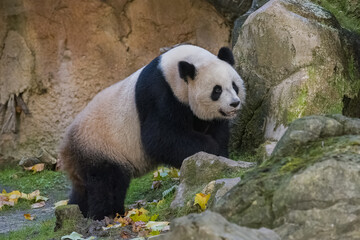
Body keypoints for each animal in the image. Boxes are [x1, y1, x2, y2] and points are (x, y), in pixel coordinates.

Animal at [59, 44, 246, 220]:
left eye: (234, 85)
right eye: (217, 90)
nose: (234, 103)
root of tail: (66, 146)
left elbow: (216, 130)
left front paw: (220, 156)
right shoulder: (159, 94)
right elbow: (160, 138)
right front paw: (210, 150)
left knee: (84, 188)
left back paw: (78, 210)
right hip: (100, 145)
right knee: (106, 183)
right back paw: (105, 214)